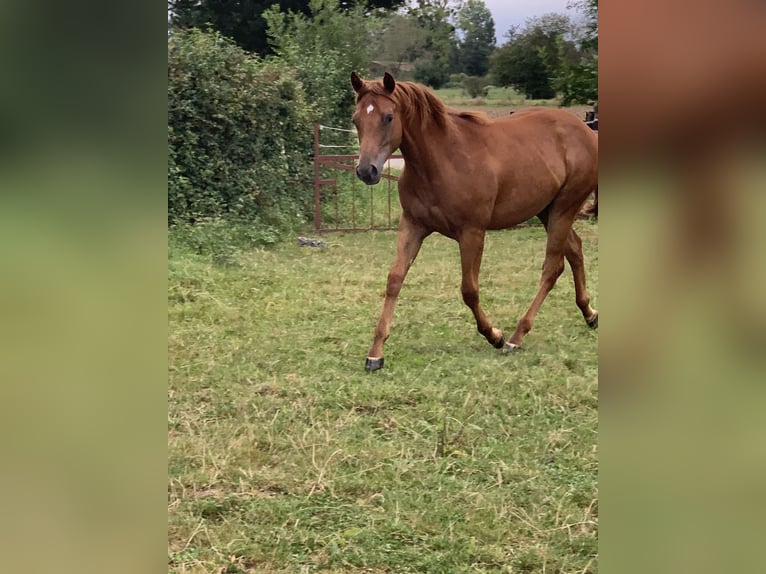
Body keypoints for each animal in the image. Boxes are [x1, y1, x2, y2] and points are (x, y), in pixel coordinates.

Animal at [354, 72, 600, 372]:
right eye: (356, 119)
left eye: (388, 117)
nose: (366, 171)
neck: (443, 160)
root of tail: (586, 131)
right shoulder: (413, 225)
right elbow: (394, 280)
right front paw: (375, 353)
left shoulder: (472, 232)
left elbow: (469, 290)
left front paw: (494, 335)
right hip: (547, 210)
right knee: (575, 250)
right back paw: (589, 314)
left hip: (564, 208)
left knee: (553, 267)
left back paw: (516, 337)